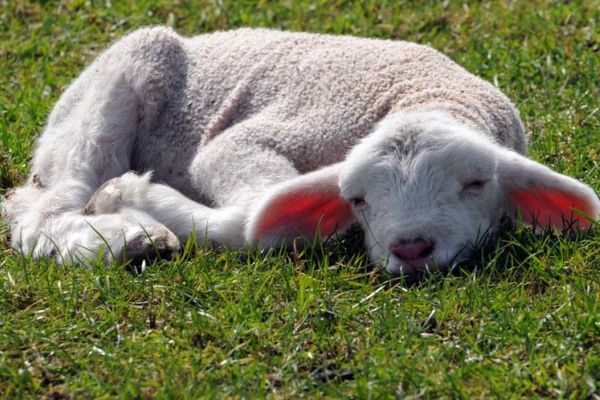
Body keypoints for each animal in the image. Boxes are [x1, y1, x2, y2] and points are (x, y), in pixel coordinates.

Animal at [3, 27, 600, 276]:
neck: (427, 96)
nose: (411, 248)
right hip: (116, 83)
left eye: (476, 185)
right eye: (357, 199)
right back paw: (121, 238)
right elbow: (254, 222)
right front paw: (130, 196)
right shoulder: (258, 138)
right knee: (38, 216)